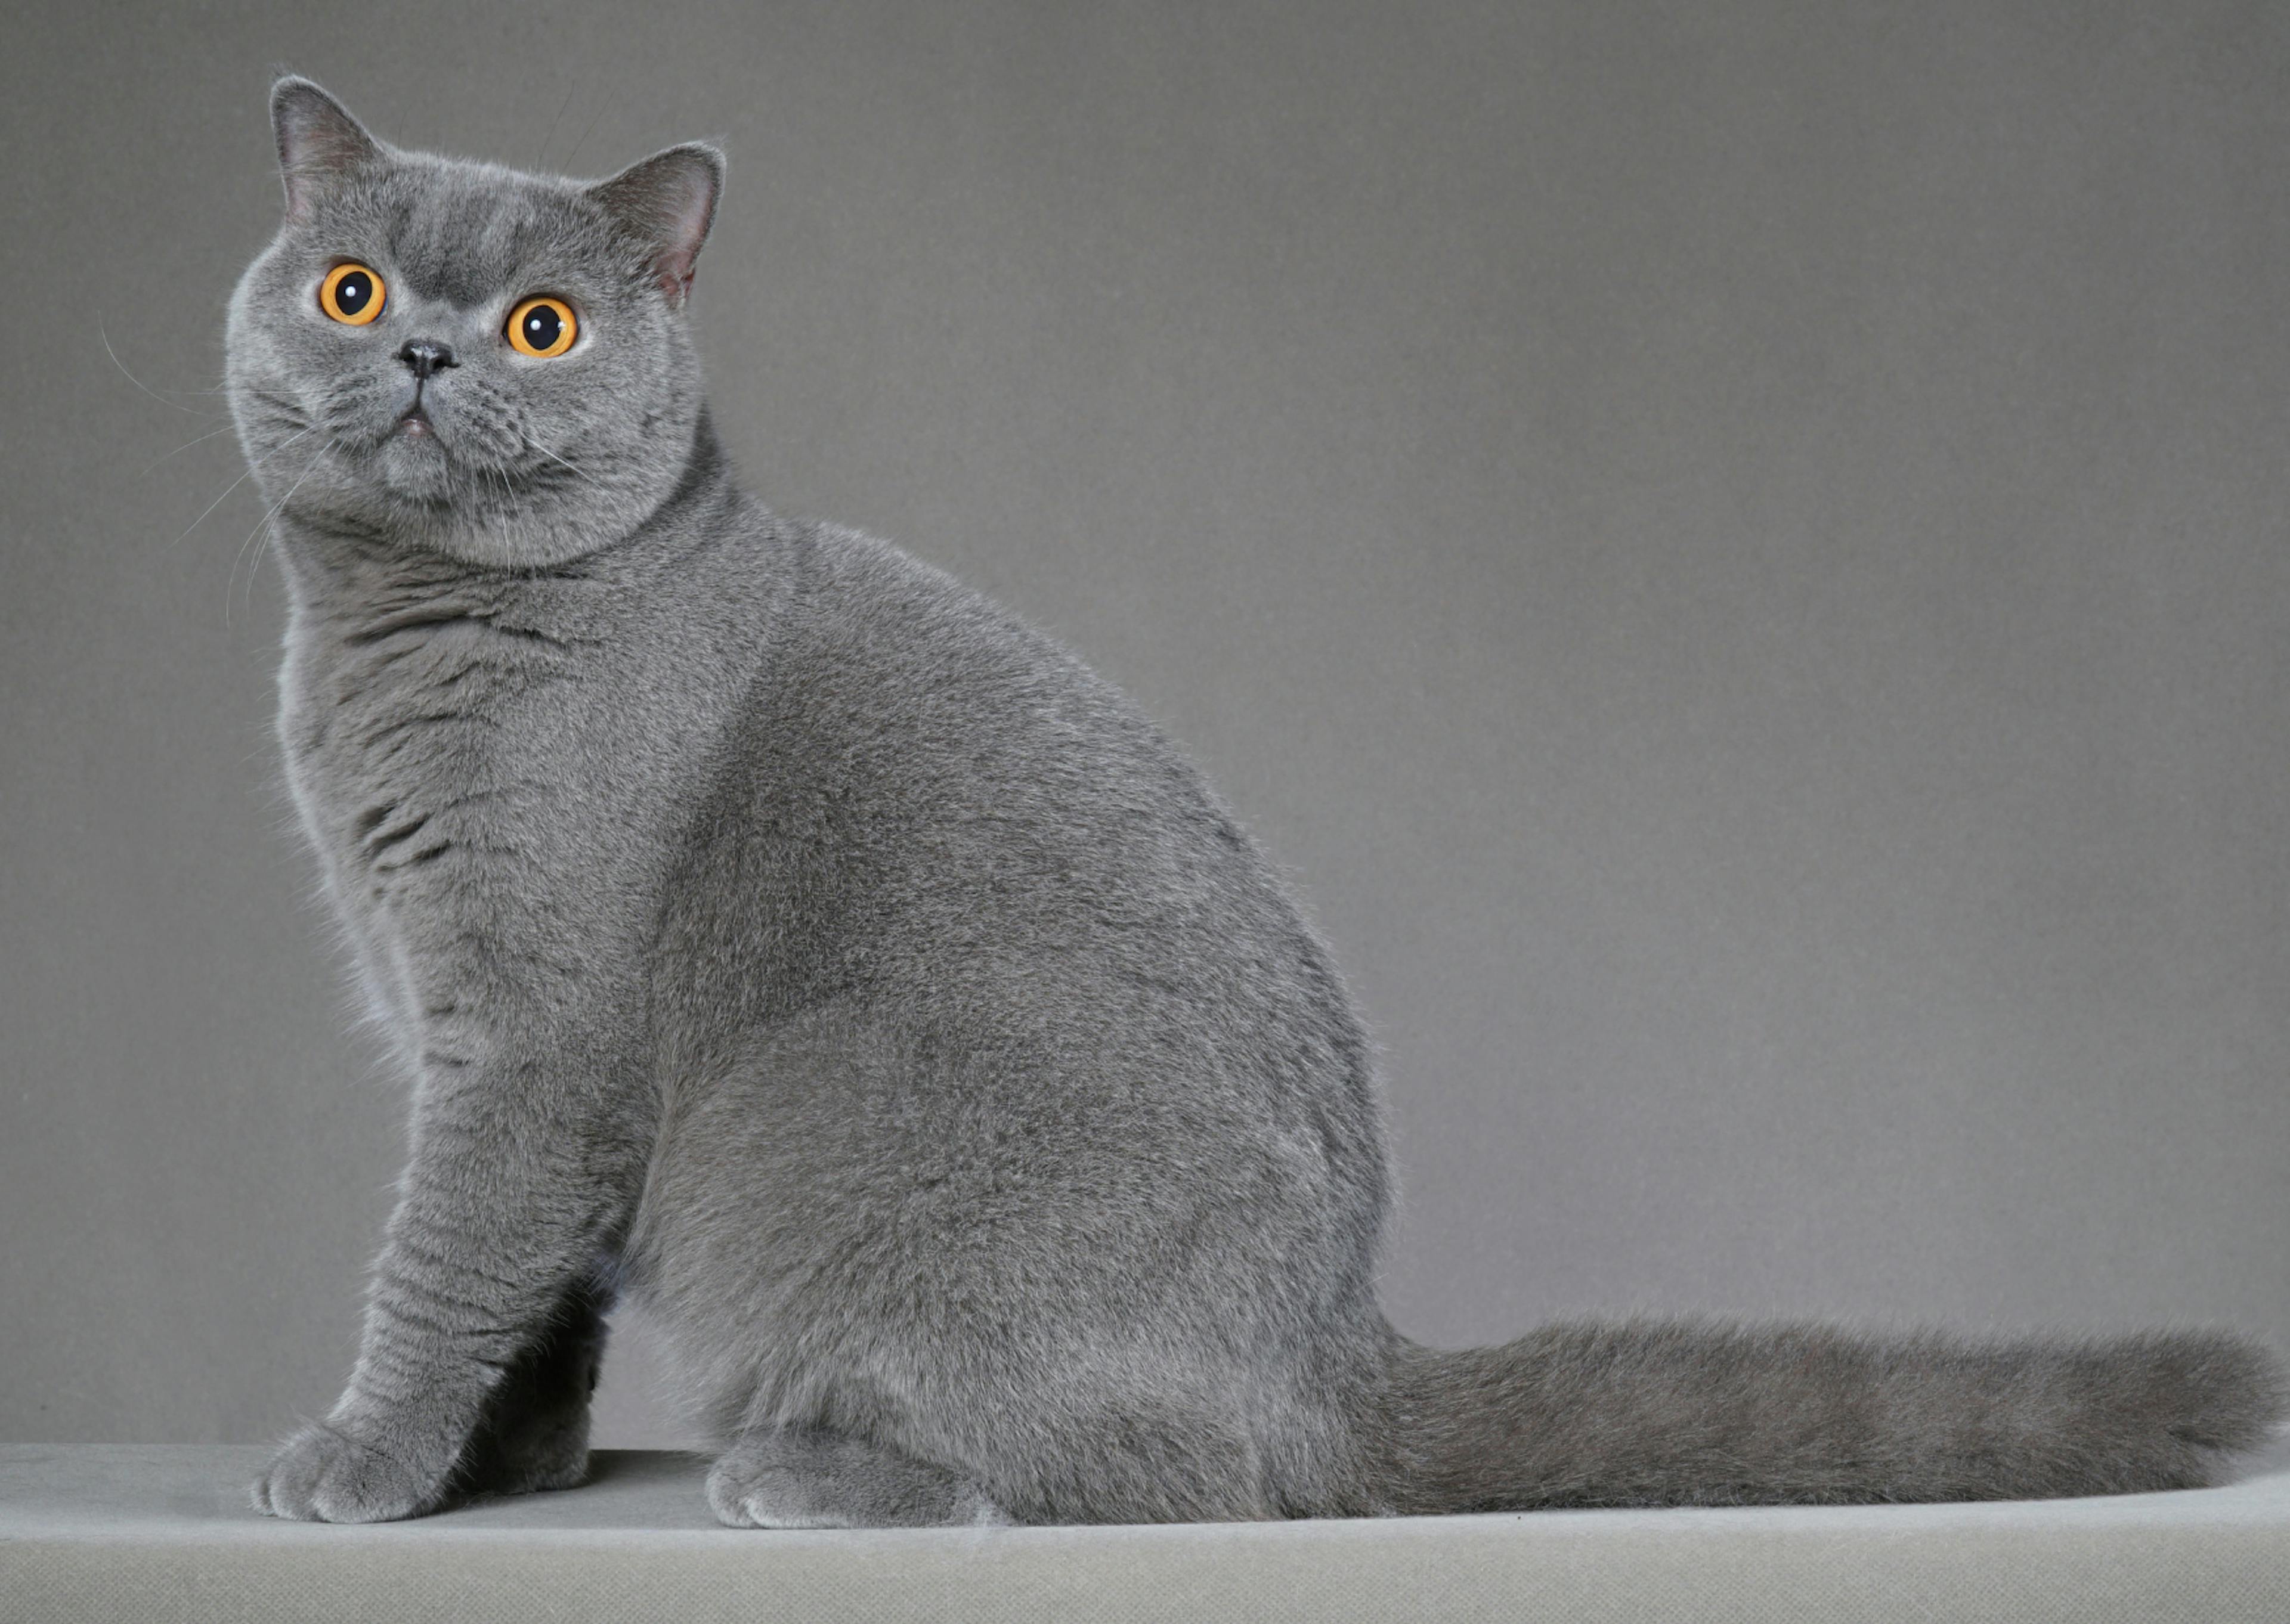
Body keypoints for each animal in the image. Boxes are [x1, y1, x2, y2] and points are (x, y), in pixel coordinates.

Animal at [223, 76, 2280, 1521]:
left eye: (545, 326)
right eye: (351, 288)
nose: (423, 347)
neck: (388, 641)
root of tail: (1329, 1356)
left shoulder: (535, 1035)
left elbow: (444, 1260)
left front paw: (357, 1461)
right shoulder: (463, 1030)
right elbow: (536, 1293)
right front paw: (505, 1466)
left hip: (859, 1172)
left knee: (1166, 1477)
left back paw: (807, 1469)